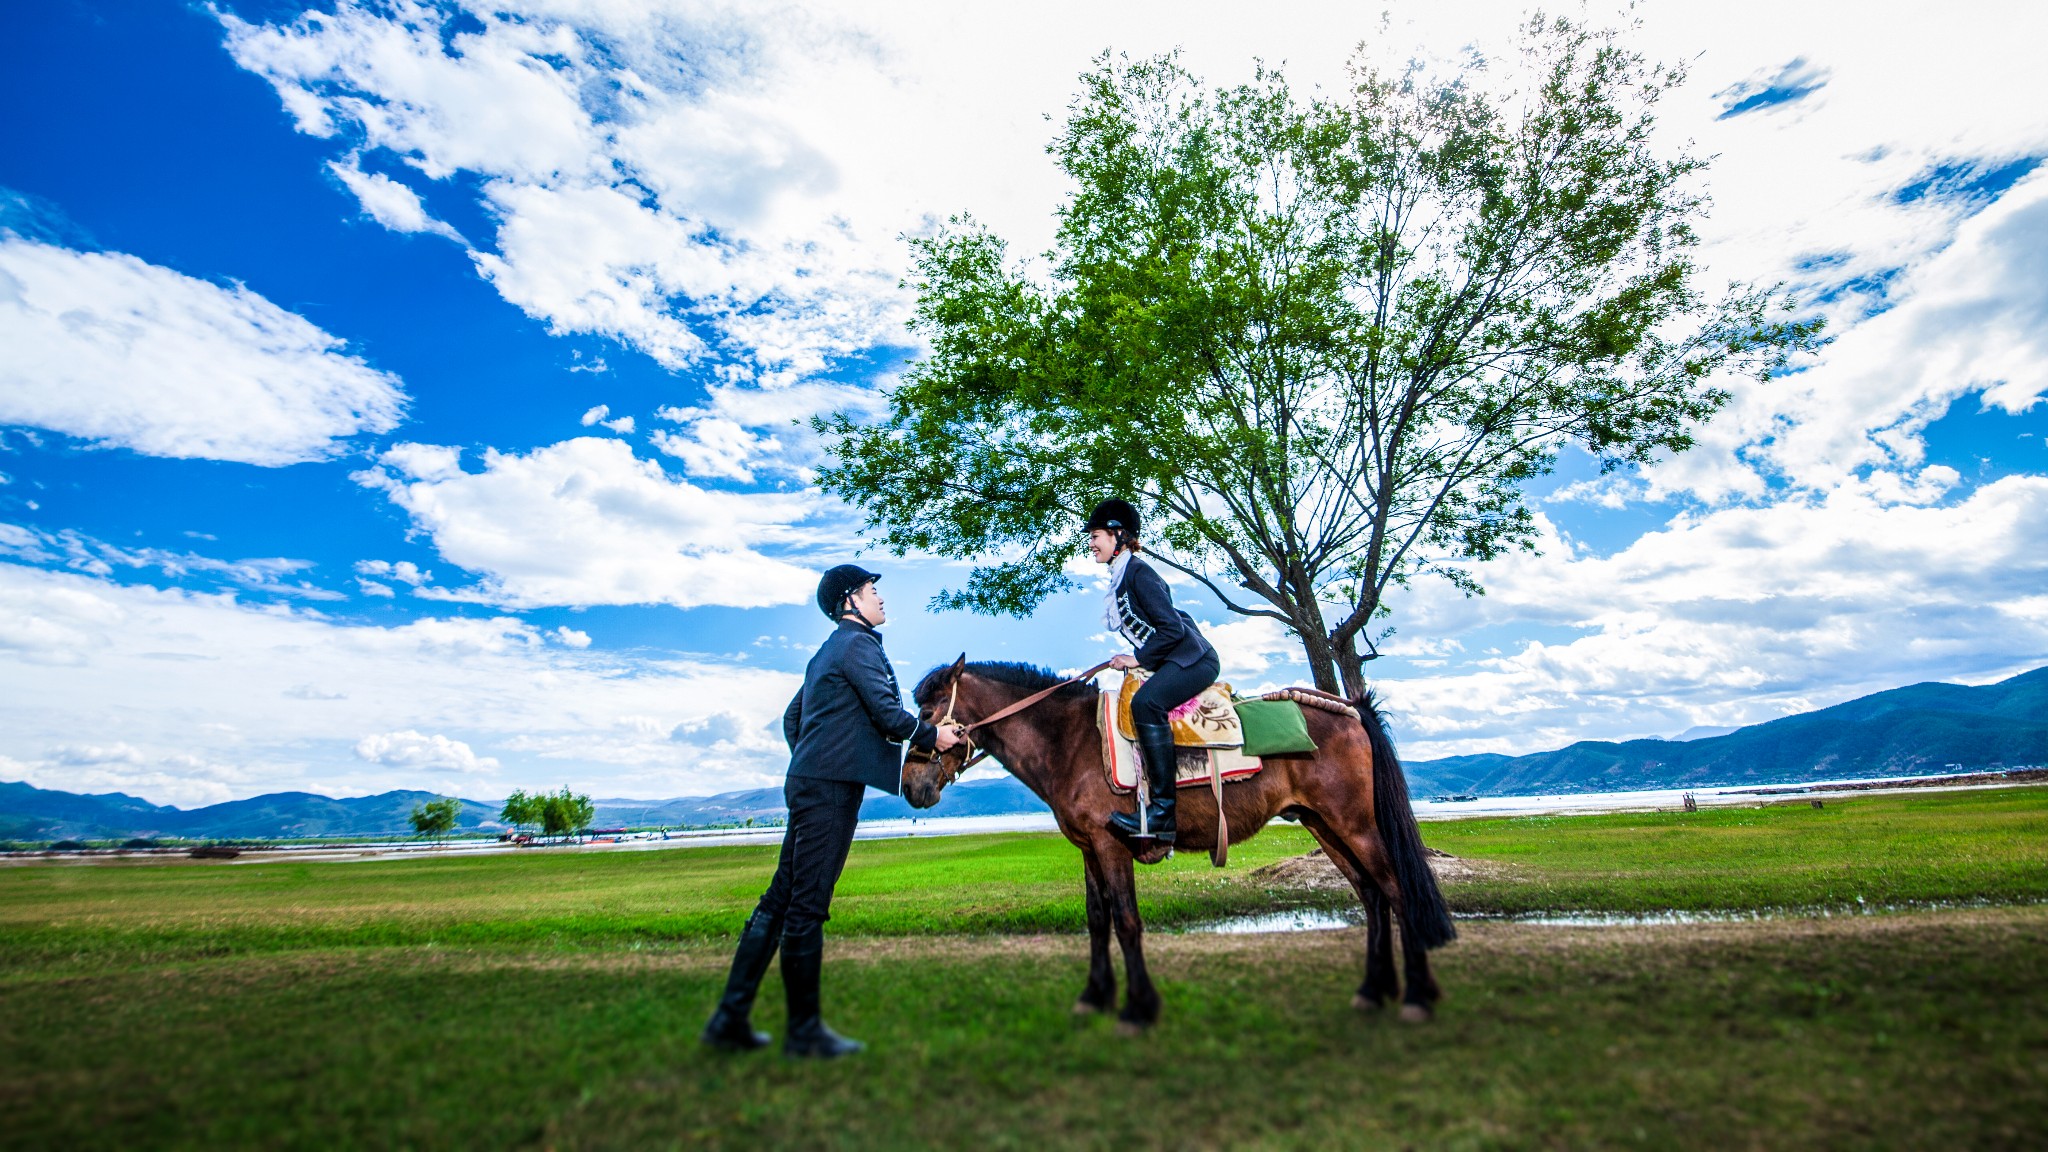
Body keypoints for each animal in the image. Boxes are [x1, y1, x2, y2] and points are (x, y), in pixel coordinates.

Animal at [909, 655, 1458, 1020]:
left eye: (929, 716)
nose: (912, 786)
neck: (1069, 741)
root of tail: (1352, 712)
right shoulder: (1088, 848)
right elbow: (1097, 921)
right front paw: (1094, 996)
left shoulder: (1111, 846)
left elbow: (1126, 922)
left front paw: (1138, 1007)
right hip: (1322, 824)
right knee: (1371, 895)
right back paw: (1373, 990)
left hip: (1355, 824)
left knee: (1396, 891)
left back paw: (1415, 995)